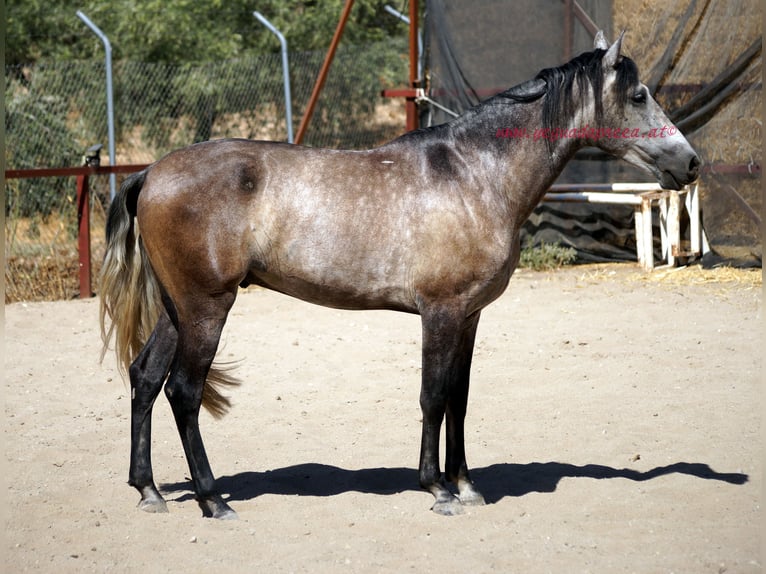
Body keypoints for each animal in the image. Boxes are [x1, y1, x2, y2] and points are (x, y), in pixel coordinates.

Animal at [100, 29, 704, 520]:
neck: (474, 175)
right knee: (183, 390)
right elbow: (432, 395)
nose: (691, 162)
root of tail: (151, 173)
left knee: (145, 379)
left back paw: (149, 491)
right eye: (638, 95)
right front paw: (437, 488)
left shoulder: (469, 316)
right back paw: (212, 500)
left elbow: (459, 396)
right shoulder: (440, 312)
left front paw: (467, 485)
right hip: (206, 307)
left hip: (177, 309)